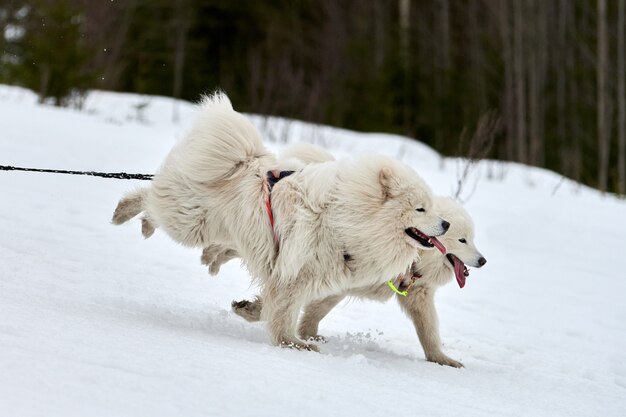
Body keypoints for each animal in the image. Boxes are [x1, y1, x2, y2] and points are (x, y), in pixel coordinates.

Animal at [109, 92, 446, 352]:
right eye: (420, 209)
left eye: (432, 207)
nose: (445, 225)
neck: (347, 219)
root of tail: (241, 161)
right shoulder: (295, 271)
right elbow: (284, 312)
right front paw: (292, 344)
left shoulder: (301, 275)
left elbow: (275, 306)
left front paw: (250, 310)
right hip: (191, 222)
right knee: (149, 198)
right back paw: (124, 212)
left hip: (206, 225)